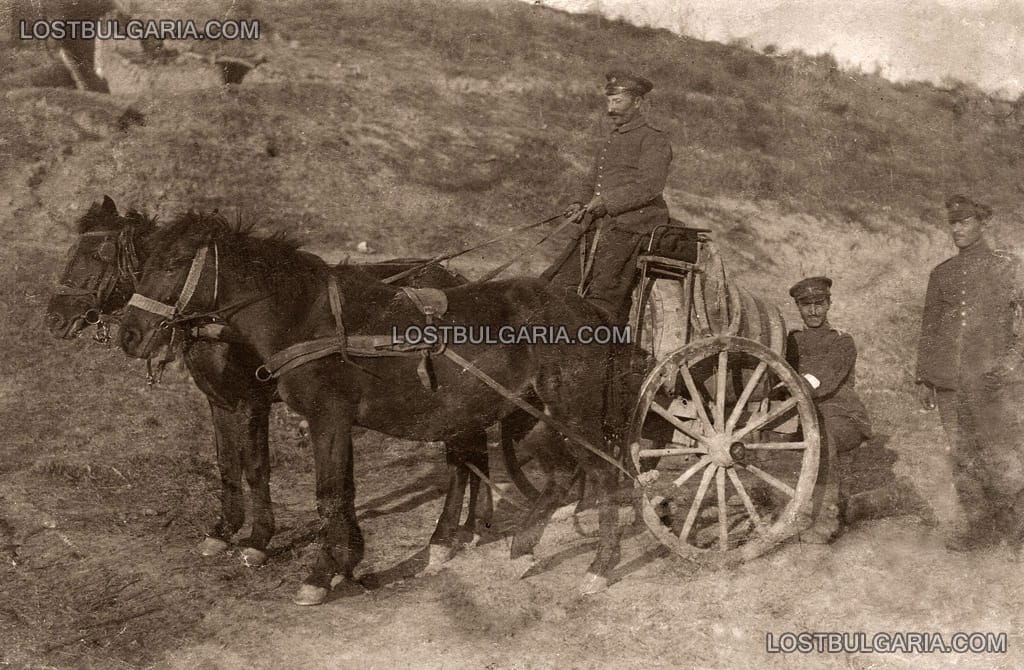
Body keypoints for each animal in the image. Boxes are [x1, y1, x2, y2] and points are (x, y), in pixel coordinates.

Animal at [48, 199, 503, 573]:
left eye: (98, 255)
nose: (54, 318)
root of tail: (451, 273)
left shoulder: (252, 402)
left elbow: (255, 467)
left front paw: (258, 539)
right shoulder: (219, 402)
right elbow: (227, 464)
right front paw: (223, 530)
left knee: (465, 453)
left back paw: (454, 534)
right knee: (472, 447)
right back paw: (472, 525)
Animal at [117, 213, 630, 606]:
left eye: (174, 263)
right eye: (142, 262)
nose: (128, 334)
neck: (310, 320)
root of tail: (588, 310)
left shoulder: (324, 417)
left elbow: (328, 494)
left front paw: (320, 573)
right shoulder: (320, 420)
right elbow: (338, 491)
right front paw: (345, 563)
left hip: (572, 413)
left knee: (604, 474)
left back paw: (599, 568)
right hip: (525, 417)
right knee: (556, 473)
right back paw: (518, 547)